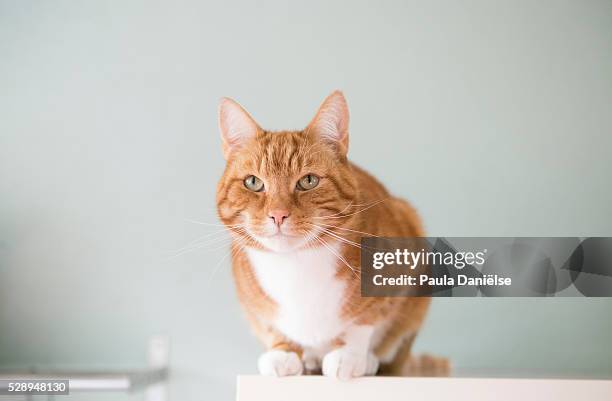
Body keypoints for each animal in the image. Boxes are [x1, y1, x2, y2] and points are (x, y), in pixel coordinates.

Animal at [218, 90, 432, 378]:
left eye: (308, 181)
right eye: (253, 182)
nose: (278, 214)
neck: (295, 266)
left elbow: (362, 323)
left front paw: (349, 355)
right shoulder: (254, 308)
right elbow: (273, 328)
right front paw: (283, 351)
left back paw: (369, 361)